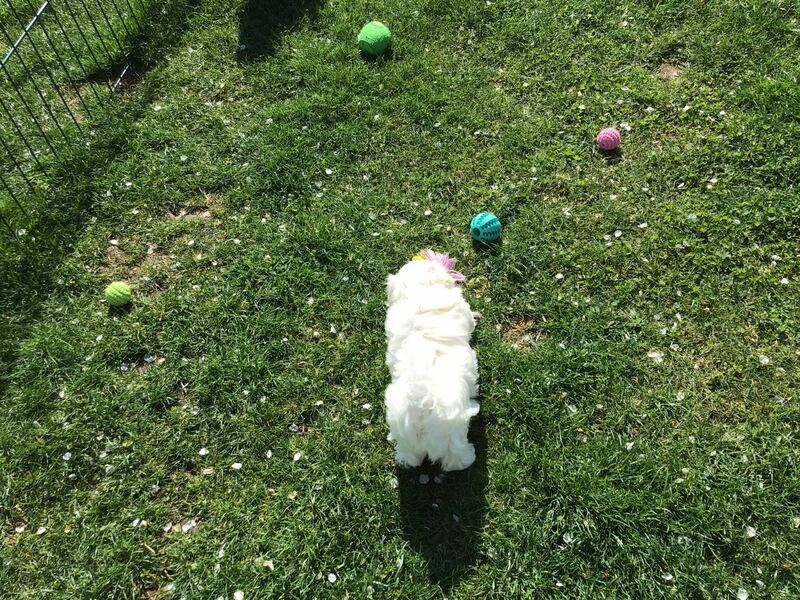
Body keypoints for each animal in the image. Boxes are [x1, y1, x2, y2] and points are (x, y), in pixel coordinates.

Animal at [384, 250, 480, 471]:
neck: (420, 289)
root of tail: (422, 401)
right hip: (452, 433)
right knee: (455, 456)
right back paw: (467, 459)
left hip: (405, 435)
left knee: (409, 454)